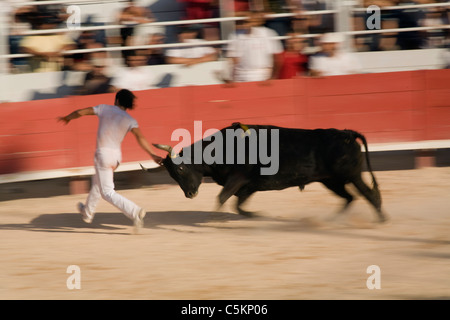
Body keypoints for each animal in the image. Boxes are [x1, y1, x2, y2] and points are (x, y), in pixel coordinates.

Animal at [143, 122, 386, 222]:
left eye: (181, 167)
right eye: (172, 175)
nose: (190, 194)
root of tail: (347, 134)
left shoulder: (238, 179)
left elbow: (222, 198)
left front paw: (214, 219)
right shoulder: (248, 186)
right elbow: (238, 206)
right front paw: (258, 215)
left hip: (351, 175)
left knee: (368, 195)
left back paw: (381, 219)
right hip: (331, 180)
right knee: (349, 198)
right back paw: (330, 220)